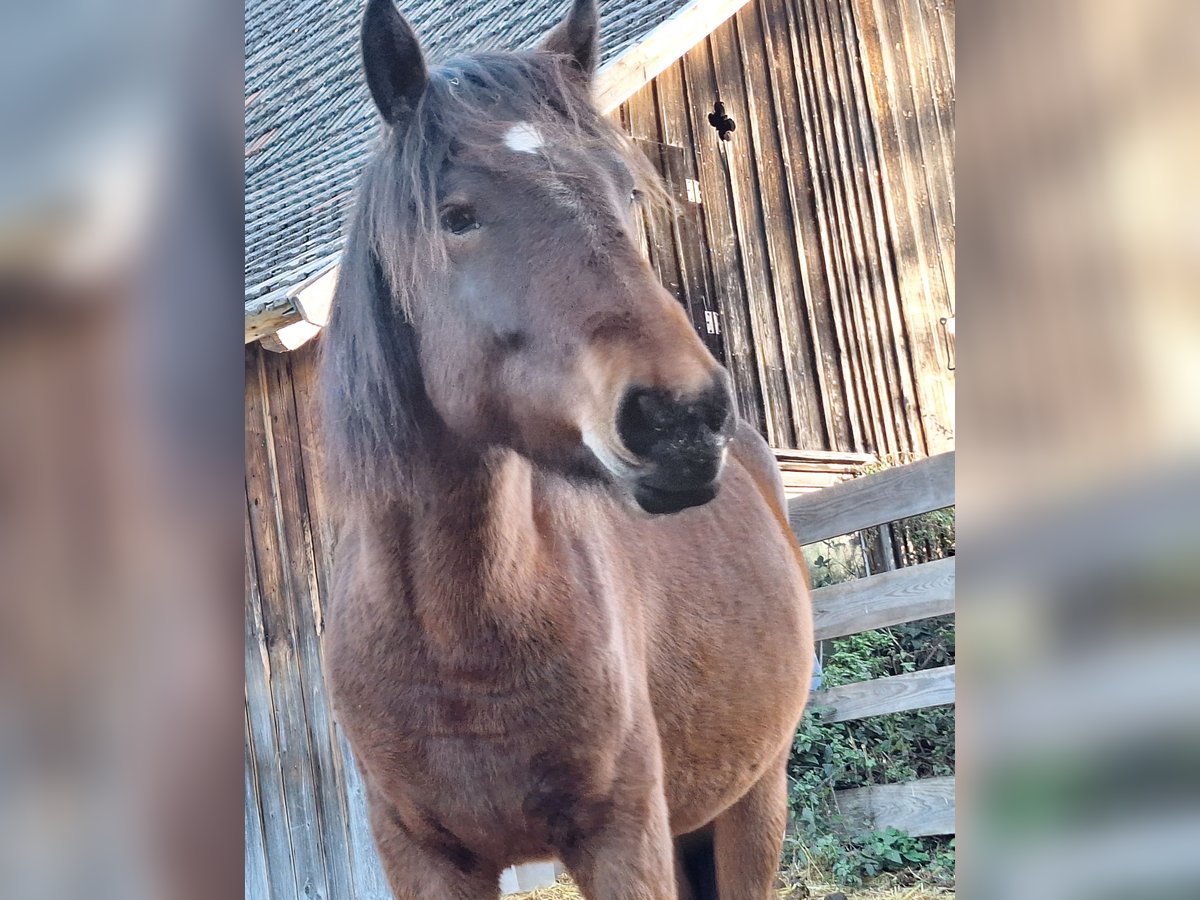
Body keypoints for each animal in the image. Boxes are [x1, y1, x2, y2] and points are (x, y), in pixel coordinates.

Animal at [321, 3, 816, 897]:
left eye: (627, 192)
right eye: (457, 215)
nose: (682, 416)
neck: (457, 642)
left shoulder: (622, 837)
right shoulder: (422, 858)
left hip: (755, 800)